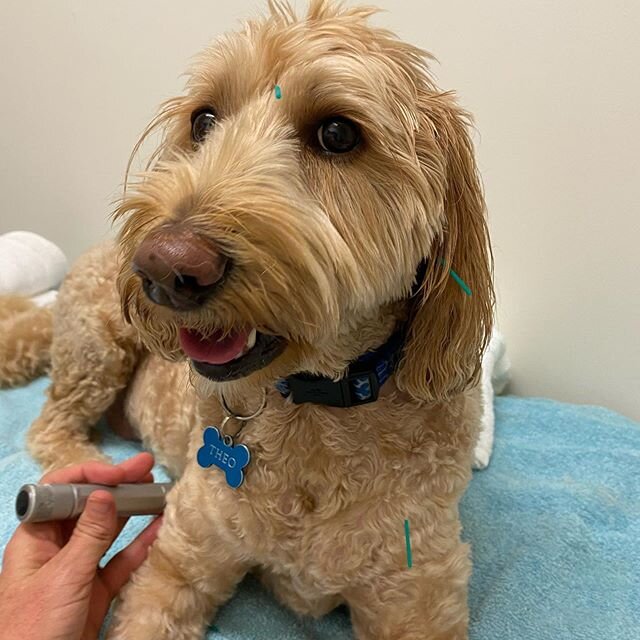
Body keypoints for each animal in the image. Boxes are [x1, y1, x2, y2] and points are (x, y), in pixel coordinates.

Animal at [1, 2, 496, 636]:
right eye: (203, 120)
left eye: (338, 134)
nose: (165, 267)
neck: (316, 405)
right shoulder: (181, 563)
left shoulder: (417, 598)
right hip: (99, 342)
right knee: (49, 423)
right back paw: (85, 467)